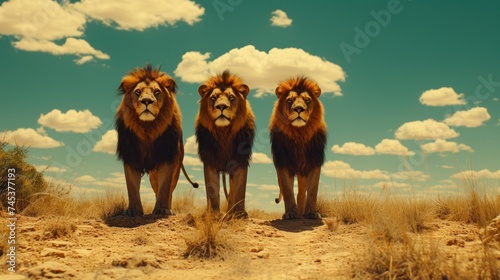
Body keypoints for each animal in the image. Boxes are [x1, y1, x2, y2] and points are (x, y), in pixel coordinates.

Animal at [115, 64, 197, 217]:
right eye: (138, 92)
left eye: (157, 92)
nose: (146, 101)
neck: (148, 128)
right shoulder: (131, 156)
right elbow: (132, 187)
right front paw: (133, 210)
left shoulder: (167, 158)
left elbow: (165, 187)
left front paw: (163, 209)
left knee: (168, 190)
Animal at [195, 70, 256, 219]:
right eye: (213, 98)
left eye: (231, 97)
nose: (221, 106)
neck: (223, 133)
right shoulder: (210, 161)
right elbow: (212, 190)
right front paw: (212, 213)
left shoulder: (240, 160)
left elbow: (238, 190)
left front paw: (239, 213)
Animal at [270, 76, 328, 219]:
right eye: (289, 100)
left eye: (307, 100)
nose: (298, 109)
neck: (299, 134)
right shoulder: (283, 163)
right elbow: (287, 190)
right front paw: (290, 213)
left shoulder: (314, 162)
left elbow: (312, 191)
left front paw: (312, 213)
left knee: (301, 194)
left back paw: (302, 213)